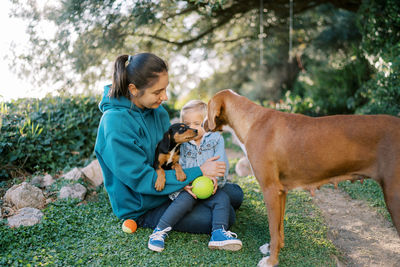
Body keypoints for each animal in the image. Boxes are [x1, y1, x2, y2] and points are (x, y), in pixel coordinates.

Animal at [205, 90, 398, 267]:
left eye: (207, 107)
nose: (203, 125)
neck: (252, 121)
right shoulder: (281, 192)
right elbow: (279, 228)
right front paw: (273, 249)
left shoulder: (270, 190)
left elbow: (273, 228)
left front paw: (272, 261)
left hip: (394, 199)